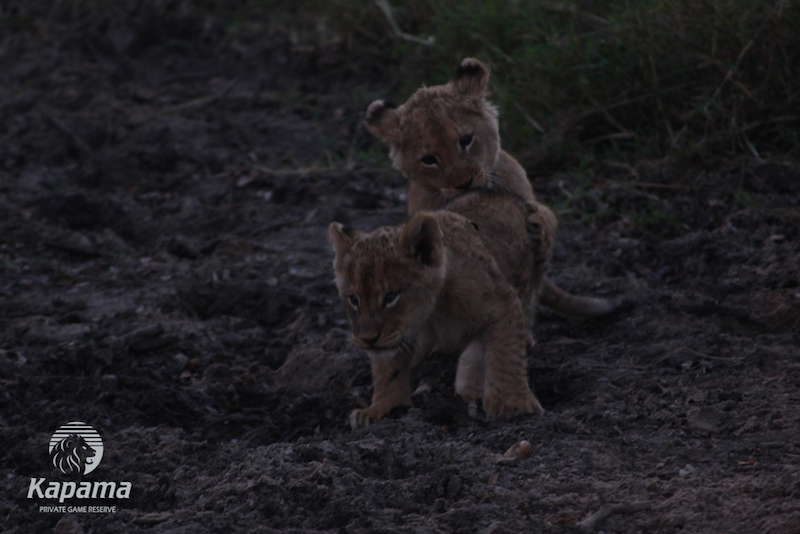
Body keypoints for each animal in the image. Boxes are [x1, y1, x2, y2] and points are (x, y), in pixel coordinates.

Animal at [330, 190, 552, 429]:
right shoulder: (394, 335)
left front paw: (514, 404)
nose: (368, 339)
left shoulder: (503, 302)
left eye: (390, 297)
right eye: (354, 299)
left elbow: (506, 355)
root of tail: (504, 194)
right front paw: (383, 408)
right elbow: (387, 369)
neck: (430, 314)